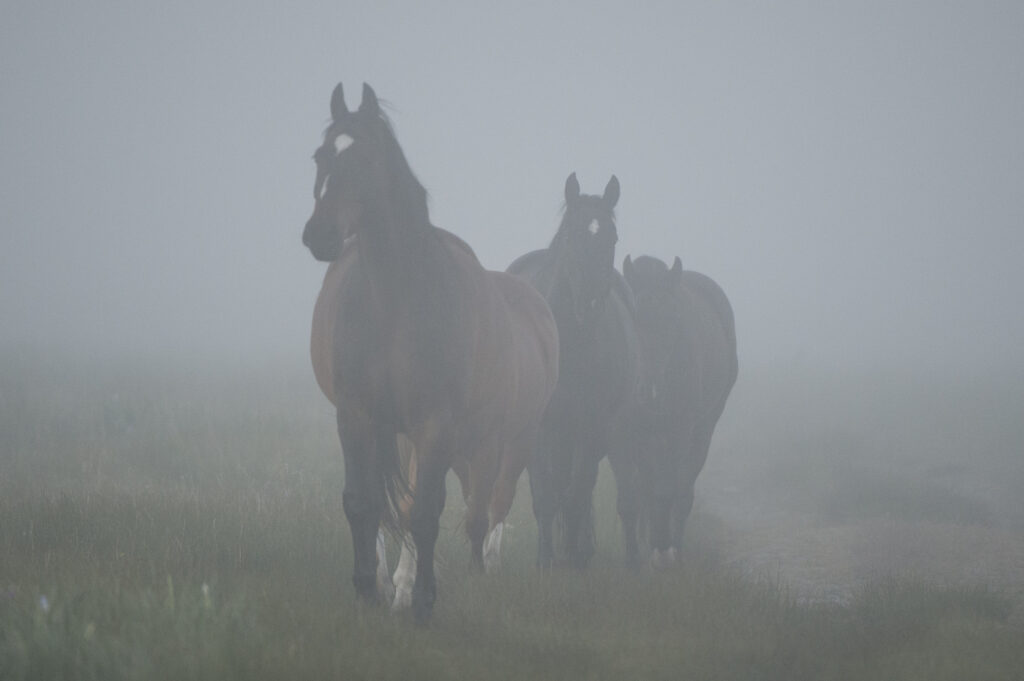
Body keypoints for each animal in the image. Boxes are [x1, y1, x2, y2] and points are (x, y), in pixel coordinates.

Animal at [303, 83, 559, 623]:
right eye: (320, 156)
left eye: (367, 157)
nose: (319, 235)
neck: (393, 306)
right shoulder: (355, 414)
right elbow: (361, 502)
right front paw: (367, 588)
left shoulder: (434, 423)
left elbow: (424, 511)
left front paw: (420, 601)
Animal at [507, 174, 640, 569]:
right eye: (571, 237)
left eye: (612, 237)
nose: (592, 304)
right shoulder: (541, 428)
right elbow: (545, 494)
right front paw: (545, 562)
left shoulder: (596, 424)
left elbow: (579, 491)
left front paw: (576, 557)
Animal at [617, 255, 737, 566]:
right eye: (632, 318)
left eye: (672, 319)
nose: (648, 390)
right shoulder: (625, 433)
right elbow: (635, 492)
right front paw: (638, 554)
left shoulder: (679, 432)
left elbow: (668, 489)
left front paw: (663, 549)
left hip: (700, 432)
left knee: (681, 489)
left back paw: (673, 546)